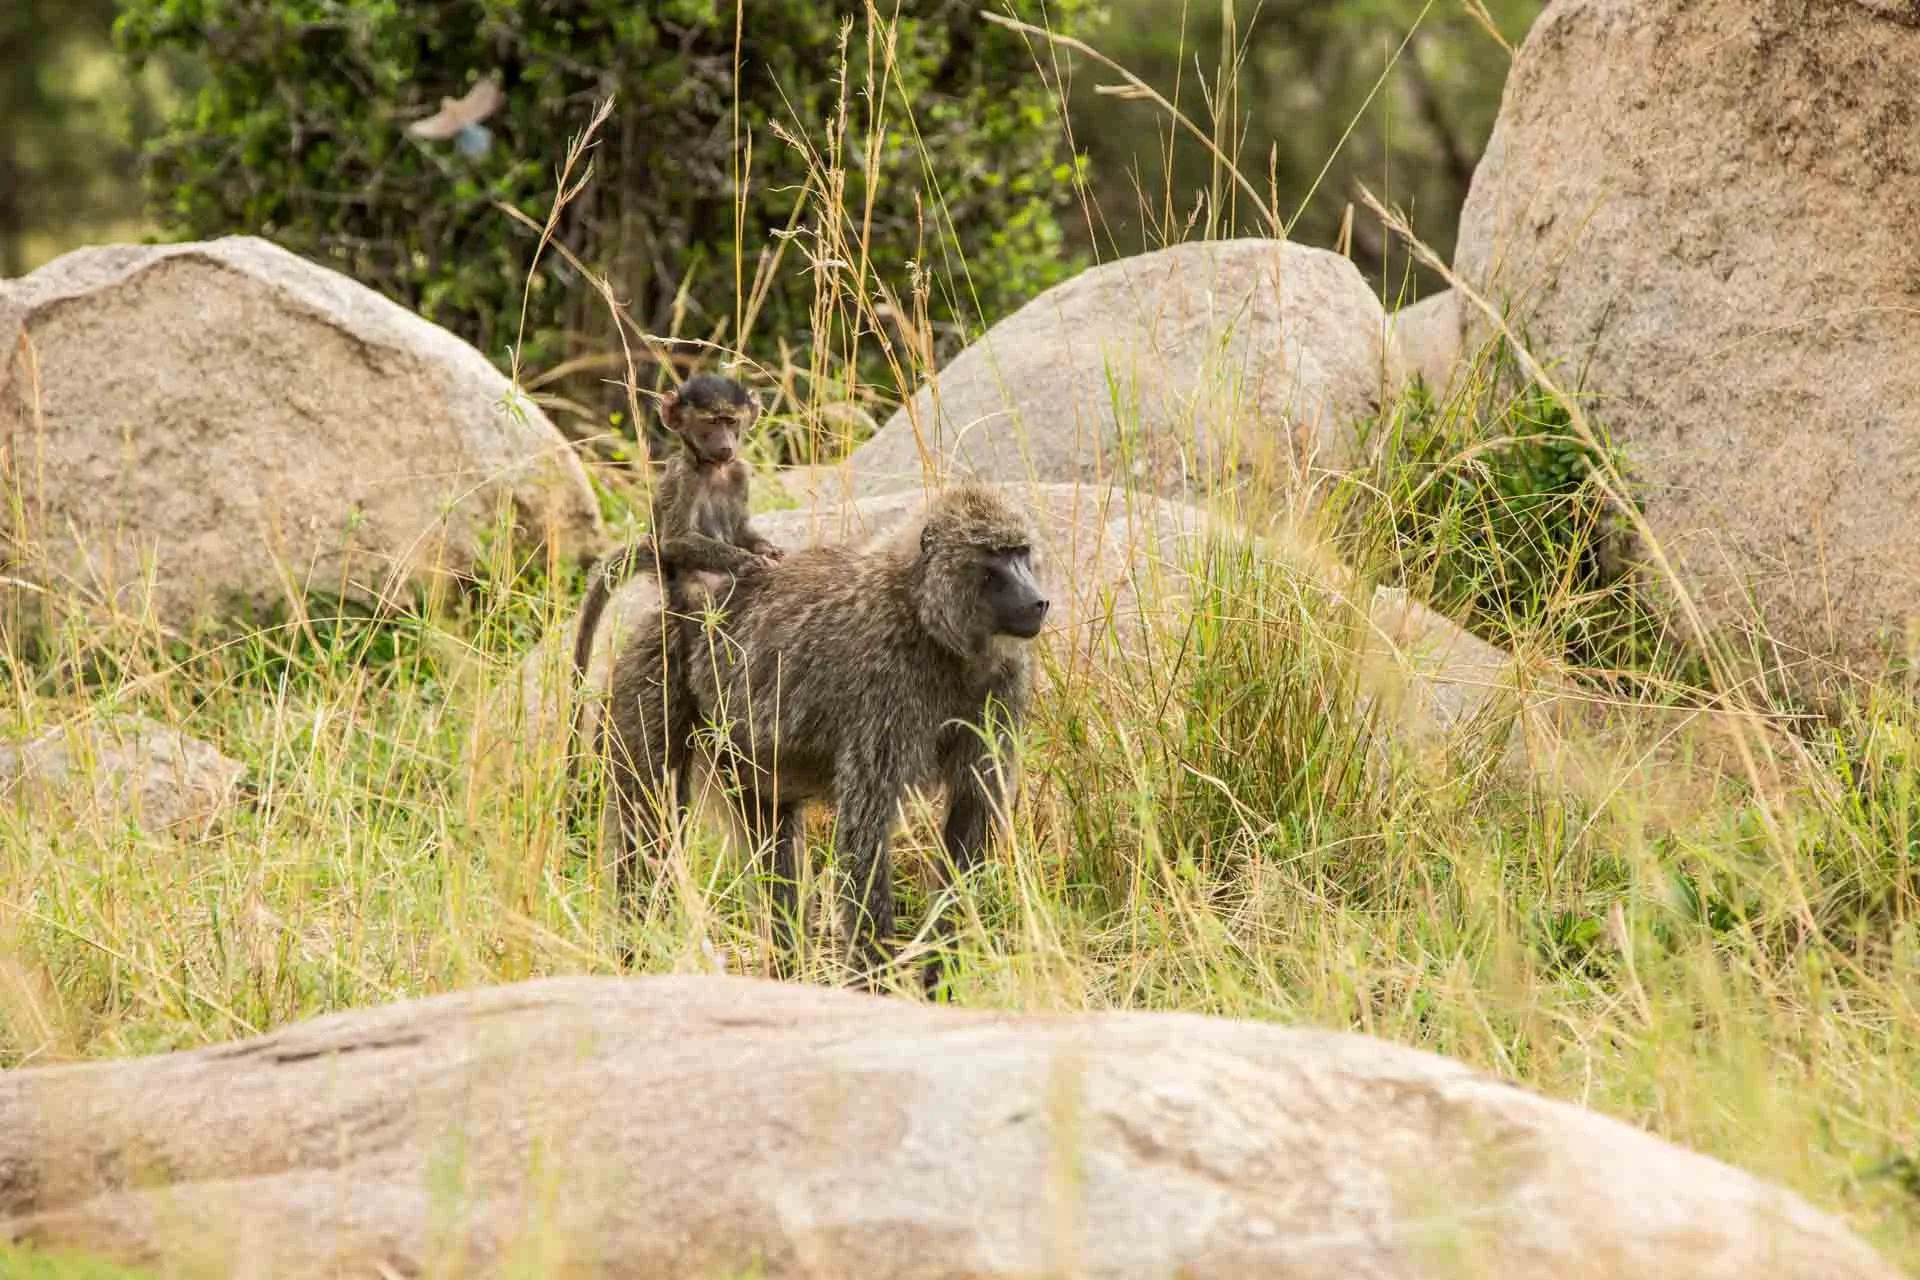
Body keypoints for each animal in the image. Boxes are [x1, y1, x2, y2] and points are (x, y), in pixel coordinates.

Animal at [600, 482, 1049, 991]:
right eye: (995, 557)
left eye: (1021, 552)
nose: (1038, 602)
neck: (929, 623)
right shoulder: (884, 685)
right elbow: (865, 833)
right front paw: (877, 985)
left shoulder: (1003, 682)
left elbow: (970, 816)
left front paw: (940, 979)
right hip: (654, 679)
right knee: (647, 834)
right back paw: (633, 957)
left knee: (773, 849)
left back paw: (786, 971)